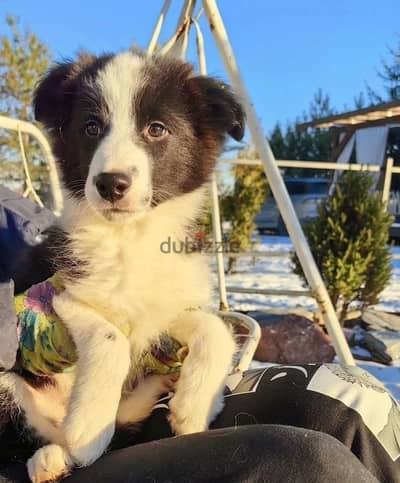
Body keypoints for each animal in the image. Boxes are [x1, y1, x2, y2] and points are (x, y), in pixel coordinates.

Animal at [0, 51, 245, 482]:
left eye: (156, 129)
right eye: (91, 127)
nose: (111, 183)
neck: (130, 237)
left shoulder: (162, 311)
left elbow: (215, 330)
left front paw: (195, 408)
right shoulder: (59, 294)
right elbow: (109, 337)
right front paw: (88, 429)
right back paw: (52, 458)